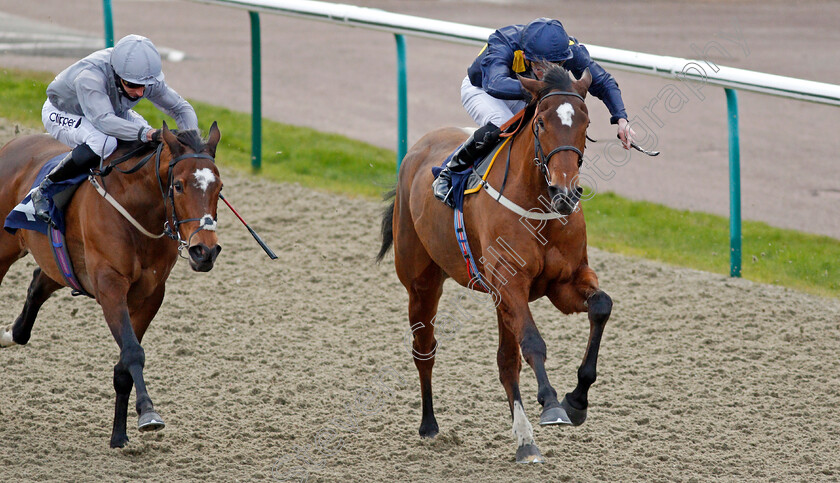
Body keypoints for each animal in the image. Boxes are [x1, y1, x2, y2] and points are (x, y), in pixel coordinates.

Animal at [0, 123, 223, 448]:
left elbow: (124, 367)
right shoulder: (110, 285)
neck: (136, 208)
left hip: (57, 261)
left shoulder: (150, 295)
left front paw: (119, 435)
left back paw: (11, 334)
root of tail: (12, 144)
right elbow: (132, 352)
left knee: (38, 284)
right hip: (3, 249)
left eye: (219, 189)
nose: (204, 251)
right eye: (179, 186)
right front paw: (148, 413)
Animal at [378, 62, 612, 464]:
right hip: (422, 282)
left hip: (498, 300)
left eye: (585, 122)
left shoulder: (563, 283)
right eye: (541, 124)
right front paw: (552, 404)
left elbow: (600, 306)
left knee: (506, 363)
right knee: (424, 350)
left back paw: (525, 441)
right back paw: (429, 426)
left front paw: (576, 400)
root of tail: (416, 150)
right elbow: (533, 342)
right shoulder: (510, 283)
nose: (565, 192)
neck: (538, 206)